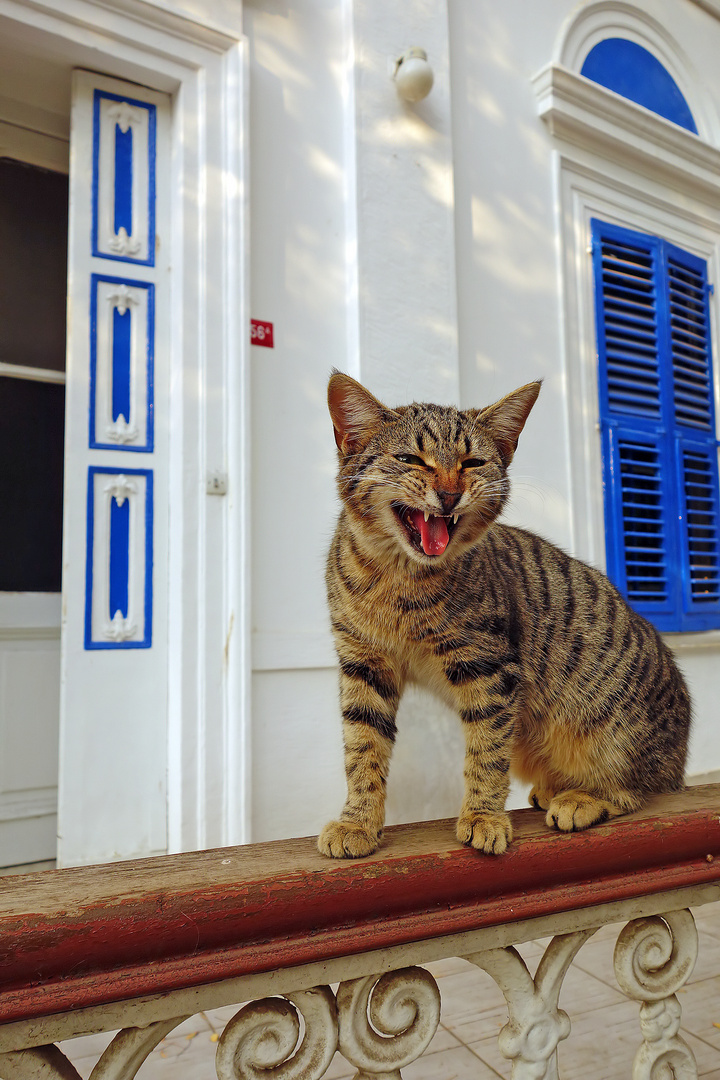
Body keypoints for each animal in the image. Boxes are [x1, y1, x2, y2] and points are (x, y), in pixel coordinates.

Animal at [317, 373, 690, 859]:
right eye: (409, 459)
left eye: (472, 462)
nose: (450, 494)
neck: (400, 580)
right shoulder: (363, 663)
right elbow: (362, 748)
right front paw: (357, 821)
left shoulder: (490, 666)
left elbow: (487, 751)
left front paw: (483, 816)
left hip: (607, 729)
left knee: (635, 789)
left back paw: (581, 798)